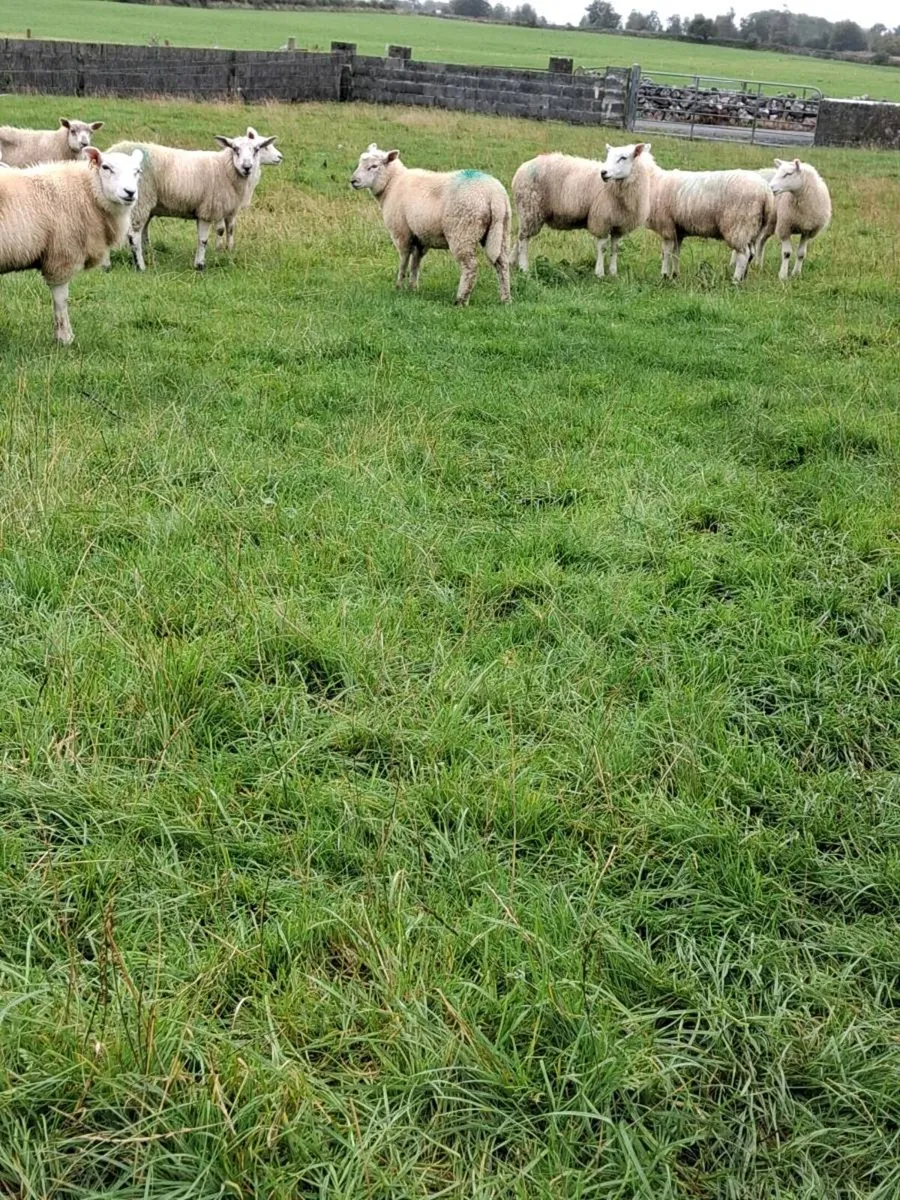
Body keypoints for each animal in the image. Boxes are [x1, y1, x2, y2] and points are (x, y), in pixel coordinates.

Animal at [0, 147, 142, 344]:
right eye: (106, 167)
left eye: (137, 171)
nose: (129, 192)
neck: (87, 191)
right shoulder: (61, 255)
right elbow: (61, 300)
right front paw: (65, 338)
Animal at [107, 131, 276, 270]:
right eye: (235, 149)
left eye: (257, 149)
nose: (247, 167)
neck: (224, 168)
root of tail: (109, 152)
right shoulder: (208, 209)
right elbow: (204, 240)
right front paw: (200, 265)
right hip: (140, 200)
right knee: (133, 235)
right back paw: (140, 266)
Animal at [350, 144, 511, 305]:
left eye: (374, 166)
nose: (353, 181)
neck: (392, 184)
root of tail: (494, 195)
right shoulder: (421, 236)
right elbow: (415, 263)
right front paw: (413, 288)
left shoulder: (401, 233)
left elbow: (404, 261)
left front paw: (399, 287)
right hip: (500, 230)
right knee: (502, 263)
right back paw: (505, 298)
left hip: (463, 231)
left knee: (470, 267)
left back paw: (461, 300)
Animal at [512, 142, 654, 278]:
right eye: (608, 156)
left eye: (623, 157)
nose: (603, 173)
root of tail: (522, 168)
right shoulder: (601, 220)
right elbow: (602, 247)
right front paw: (599, 273)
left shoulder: (618, 225)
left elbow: (615, 248)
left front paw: (613, 273)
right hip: (530, 209)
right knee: (524, 240)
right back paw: (524, 268)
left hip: (527, 213)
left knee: (519, 238)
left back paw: (512, 263)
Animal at [644, 158, 774, 283]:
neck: (654, 180)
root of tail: (765, 191)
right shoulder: (677, 230)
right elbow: (676, 253)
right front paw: (675, 275)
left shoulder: (667, 228)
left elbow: (666, 253)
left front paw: (664, 276)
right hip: (752, 228)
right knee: (751, 253)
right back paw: (743, 278)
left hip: (740, 224)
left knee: (743, 254)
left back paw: (736, 280)